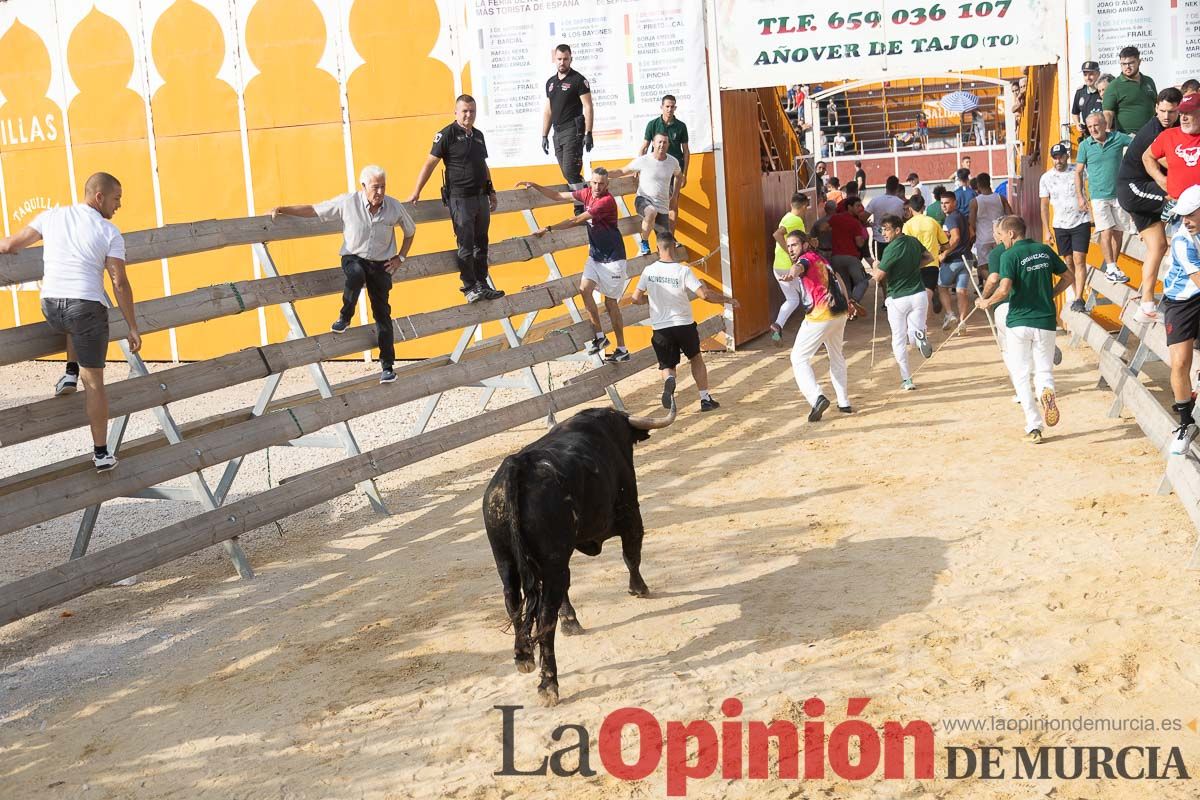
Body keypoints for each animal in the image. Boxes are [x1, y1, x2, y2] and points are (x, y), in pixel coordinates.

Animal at [484, 402, 676, 705]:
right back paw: (548, 684)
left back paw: (524, 658)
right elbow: (631, 555)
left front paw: (571, 621)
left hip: (507, 561)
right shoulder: (630, 514)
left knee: (513, 601)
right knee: (545, 619)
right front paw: (639, 588)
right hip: (553, 562)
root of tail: (518, 466)